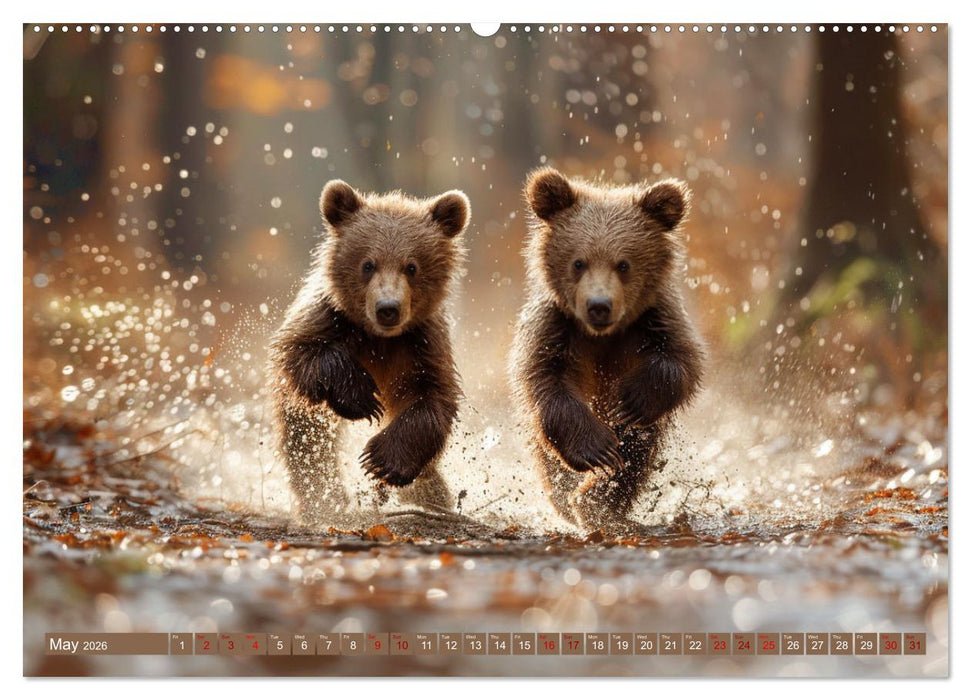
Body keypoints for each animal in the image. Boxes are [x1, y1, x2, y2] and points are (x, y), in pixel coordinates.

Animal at [268, 179, 469, 526]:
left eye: (411, 266)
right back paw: (325, 498)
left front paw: (382, 460)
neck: (379, 338)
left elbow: (434, 400)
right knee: (307, 441)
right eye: (367, 264)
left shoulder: (421, 344)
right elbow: (301, 355)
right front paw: (362, 397)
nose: (388, 308)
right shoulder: (330, 319)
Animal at [510, 167, 705, 533]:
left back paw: (594, 502)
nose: (599, 305)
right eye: (578, 263)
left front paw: (630, 399)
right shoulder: (557, 330)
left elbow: (683, 362)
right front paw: (596, 449)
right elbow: (545, 380)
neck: (602, 336)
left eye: (623, 264)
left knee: (635, 451)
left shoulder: (653, 322)